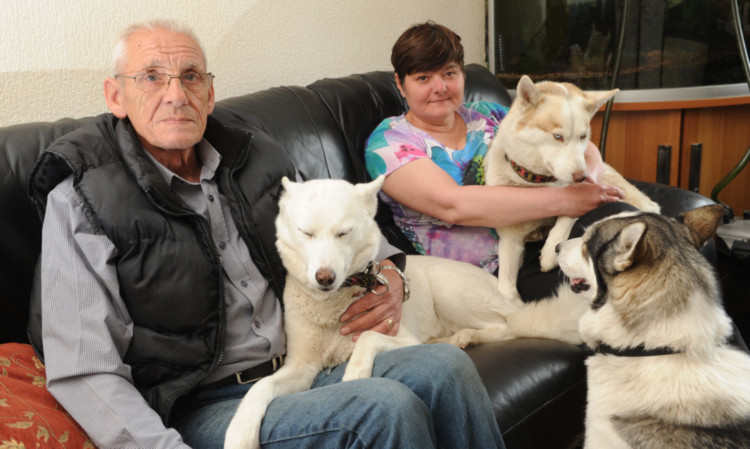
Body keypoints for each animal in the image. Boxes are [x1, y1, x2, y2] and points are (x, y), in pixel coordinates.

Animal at [223, 176, 588, 448]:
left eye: (343, 232)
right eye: (306, 233)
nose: (324, 278)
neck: (334, 304)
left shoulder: (399, 335)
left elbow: (367, 338)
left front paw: (355, 375)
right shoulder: (300, 368)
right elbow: (260, 387)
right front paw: (239, 434)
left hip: (453, 294)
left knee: (505, 326)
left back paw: (466, 336)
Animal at [484, 75, 660, 302]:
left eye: (583, 137)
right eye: (558, 136)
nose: (581, 176)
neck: (536, 183)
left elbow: (568, 213)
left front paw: (550, 252)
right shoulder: (509, 238)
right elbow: (506, 288)